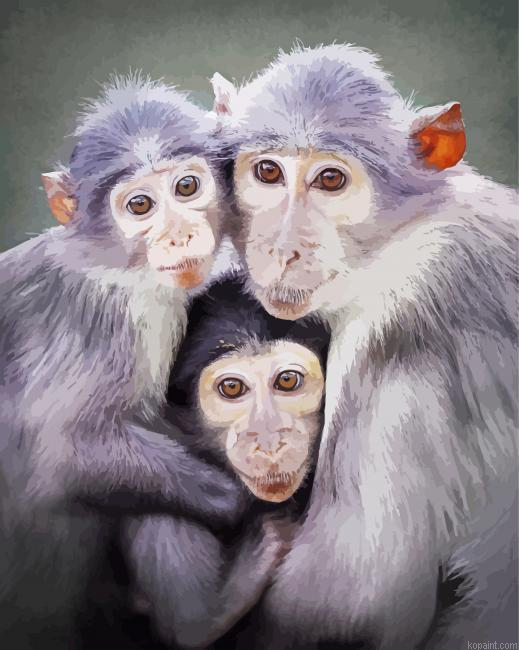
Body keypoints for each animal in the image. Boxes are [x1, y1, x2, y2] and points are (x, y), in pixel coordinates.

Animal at [0, 76, 247, 648]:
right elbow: (65, 449)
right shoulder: (112, 321)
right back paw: (207, 618)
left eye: (186, 187)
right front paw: (237, 498)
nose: (179, 234)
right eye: (139, 205)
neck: (115, 266)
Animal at [210, 44, 518, 649]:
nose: (282, 249)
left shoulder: (395, 341)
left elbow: (347, 602)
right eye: (267, 172)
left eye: (330, 179)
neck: (401, 243)